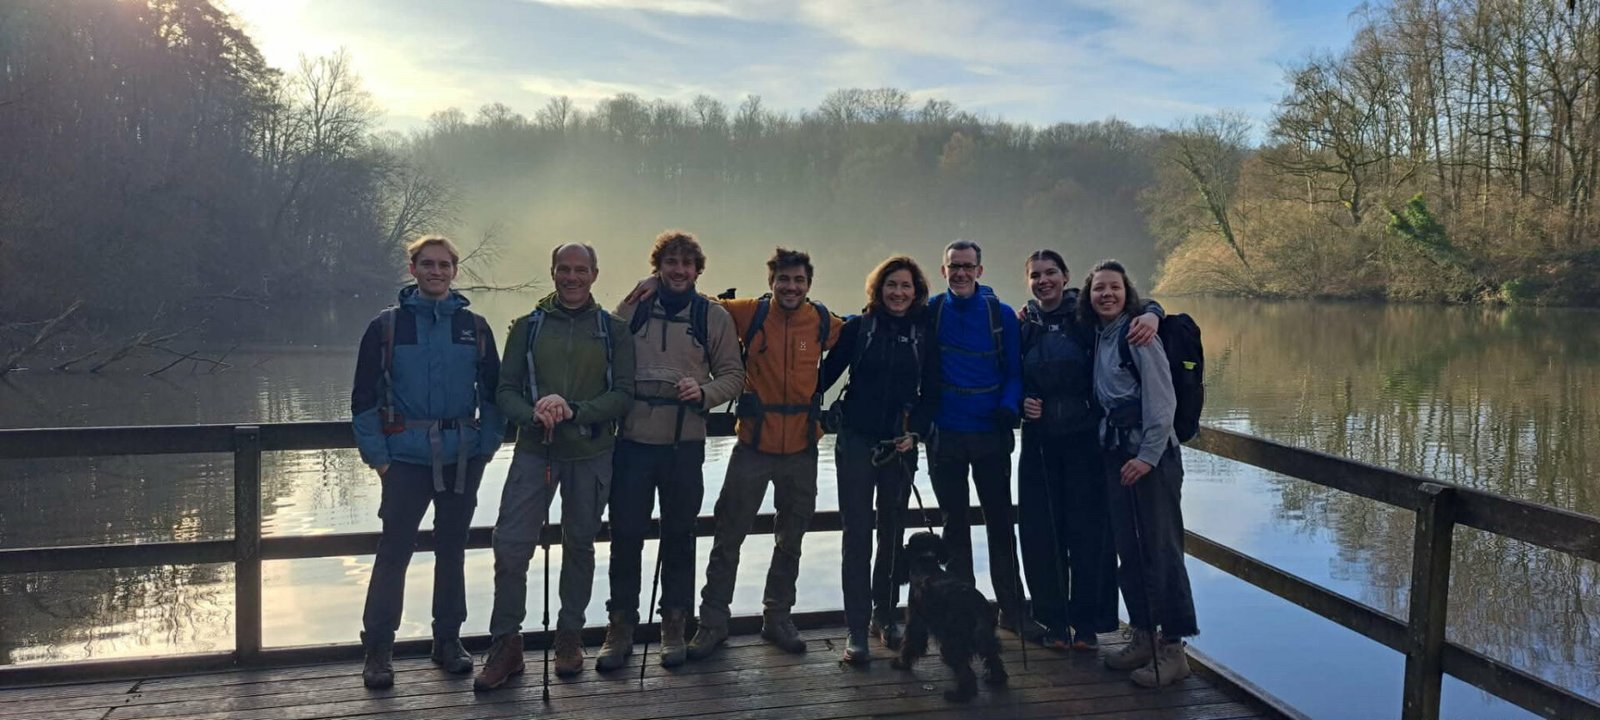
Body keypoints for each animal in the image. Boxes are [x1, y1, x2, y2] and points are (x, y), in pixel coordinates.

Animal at [890, 530, 1008, 702]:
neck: (925, 563)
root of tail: (974, 605)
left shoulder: (915, 619)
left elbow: (910, 643)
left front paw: (901, 664)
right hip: (984, 636)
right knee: (993, 656)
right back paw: (996, 678)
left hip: (954, 641)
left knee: (965, 672)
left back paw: (959, 695)